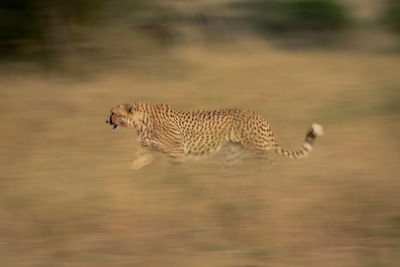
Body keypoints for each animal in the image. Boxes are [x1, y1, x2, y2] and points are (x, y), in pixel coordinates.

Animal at [105, 102, 322, 170]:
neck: (140, 121)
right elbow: (136, 164)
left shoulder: (177, 152)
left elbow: (180, 170)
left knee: (272, 164)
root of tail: (257, 113)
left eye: (114, 112)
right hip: (231, 153)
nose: (106, 121)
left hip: (261, 148)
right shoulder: (148, 150)